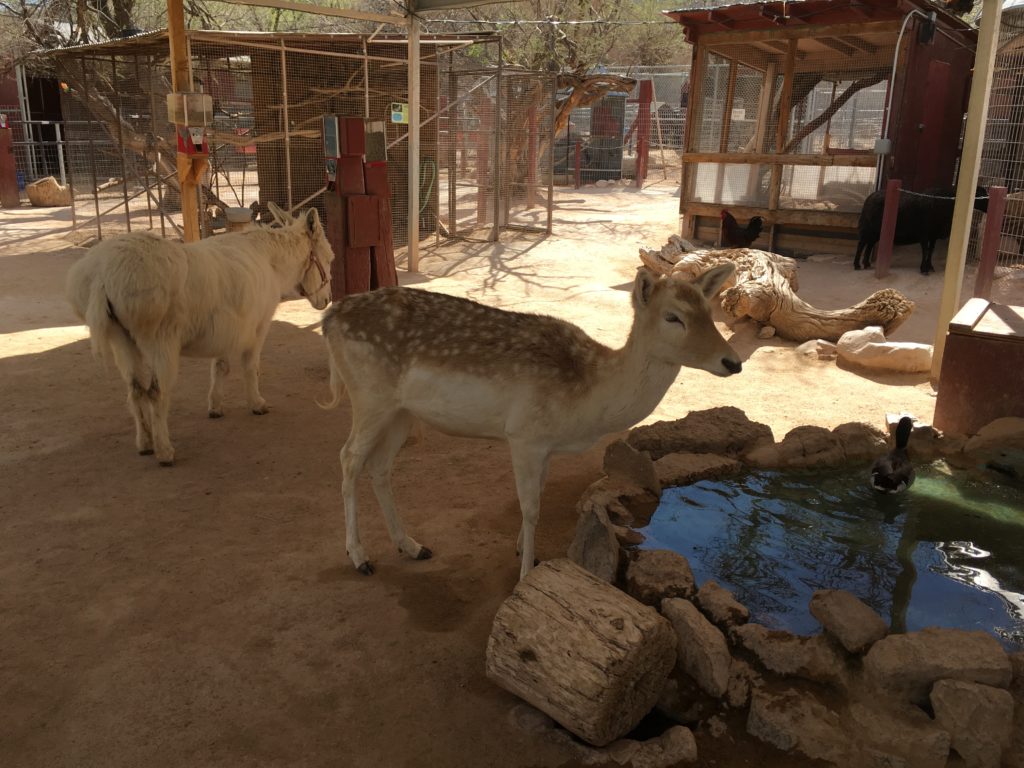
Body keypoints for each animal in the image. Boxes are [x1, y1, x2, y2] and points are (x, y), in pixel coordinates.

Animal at [319, 268, 745, 581]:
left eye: (709, 312)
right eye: (673, 317)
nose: (733, 362)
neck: (588, 401)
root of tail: (329, 317)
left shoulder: (546, 446)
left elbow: (536, 496)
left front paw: (524, 550)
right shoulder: (524, 434)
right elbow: (531, 507)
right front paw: (526, 573)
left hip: (401, 411)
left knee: (379, 466)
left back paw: (411, 545)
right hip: (370, 396)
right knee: (347, 458)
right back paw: (359, 556)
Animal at [851, 187, 987, 276]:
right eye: (981, 195)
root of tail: (869, 198)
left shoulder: (933, 235)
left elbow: (931, 251)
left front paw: (930, 266)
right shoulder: (924, 234)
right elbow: (925, 250)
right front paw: (924, 269)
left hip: (875, 231)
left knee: (869, 245)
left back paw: (867, 264)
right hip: (868, 228)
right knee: (861, 244)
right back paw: (857, 265)